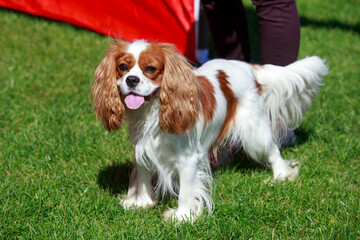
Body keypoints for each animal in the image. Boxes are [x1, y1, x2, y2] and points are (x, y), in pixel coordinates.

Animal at [91, 39, 328, 221]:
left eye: (150, 69)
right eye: (123, 67)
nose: (131, 79)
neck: (154, 111)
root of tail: (249, 66)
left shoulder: (188, 159)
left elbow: (186, 189)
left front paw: (182, 217)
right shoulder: (143, 150)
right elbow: (143, 179)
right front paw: (142, 203)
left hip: (254, 131)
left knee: (273, 151)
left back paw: (280, 176)